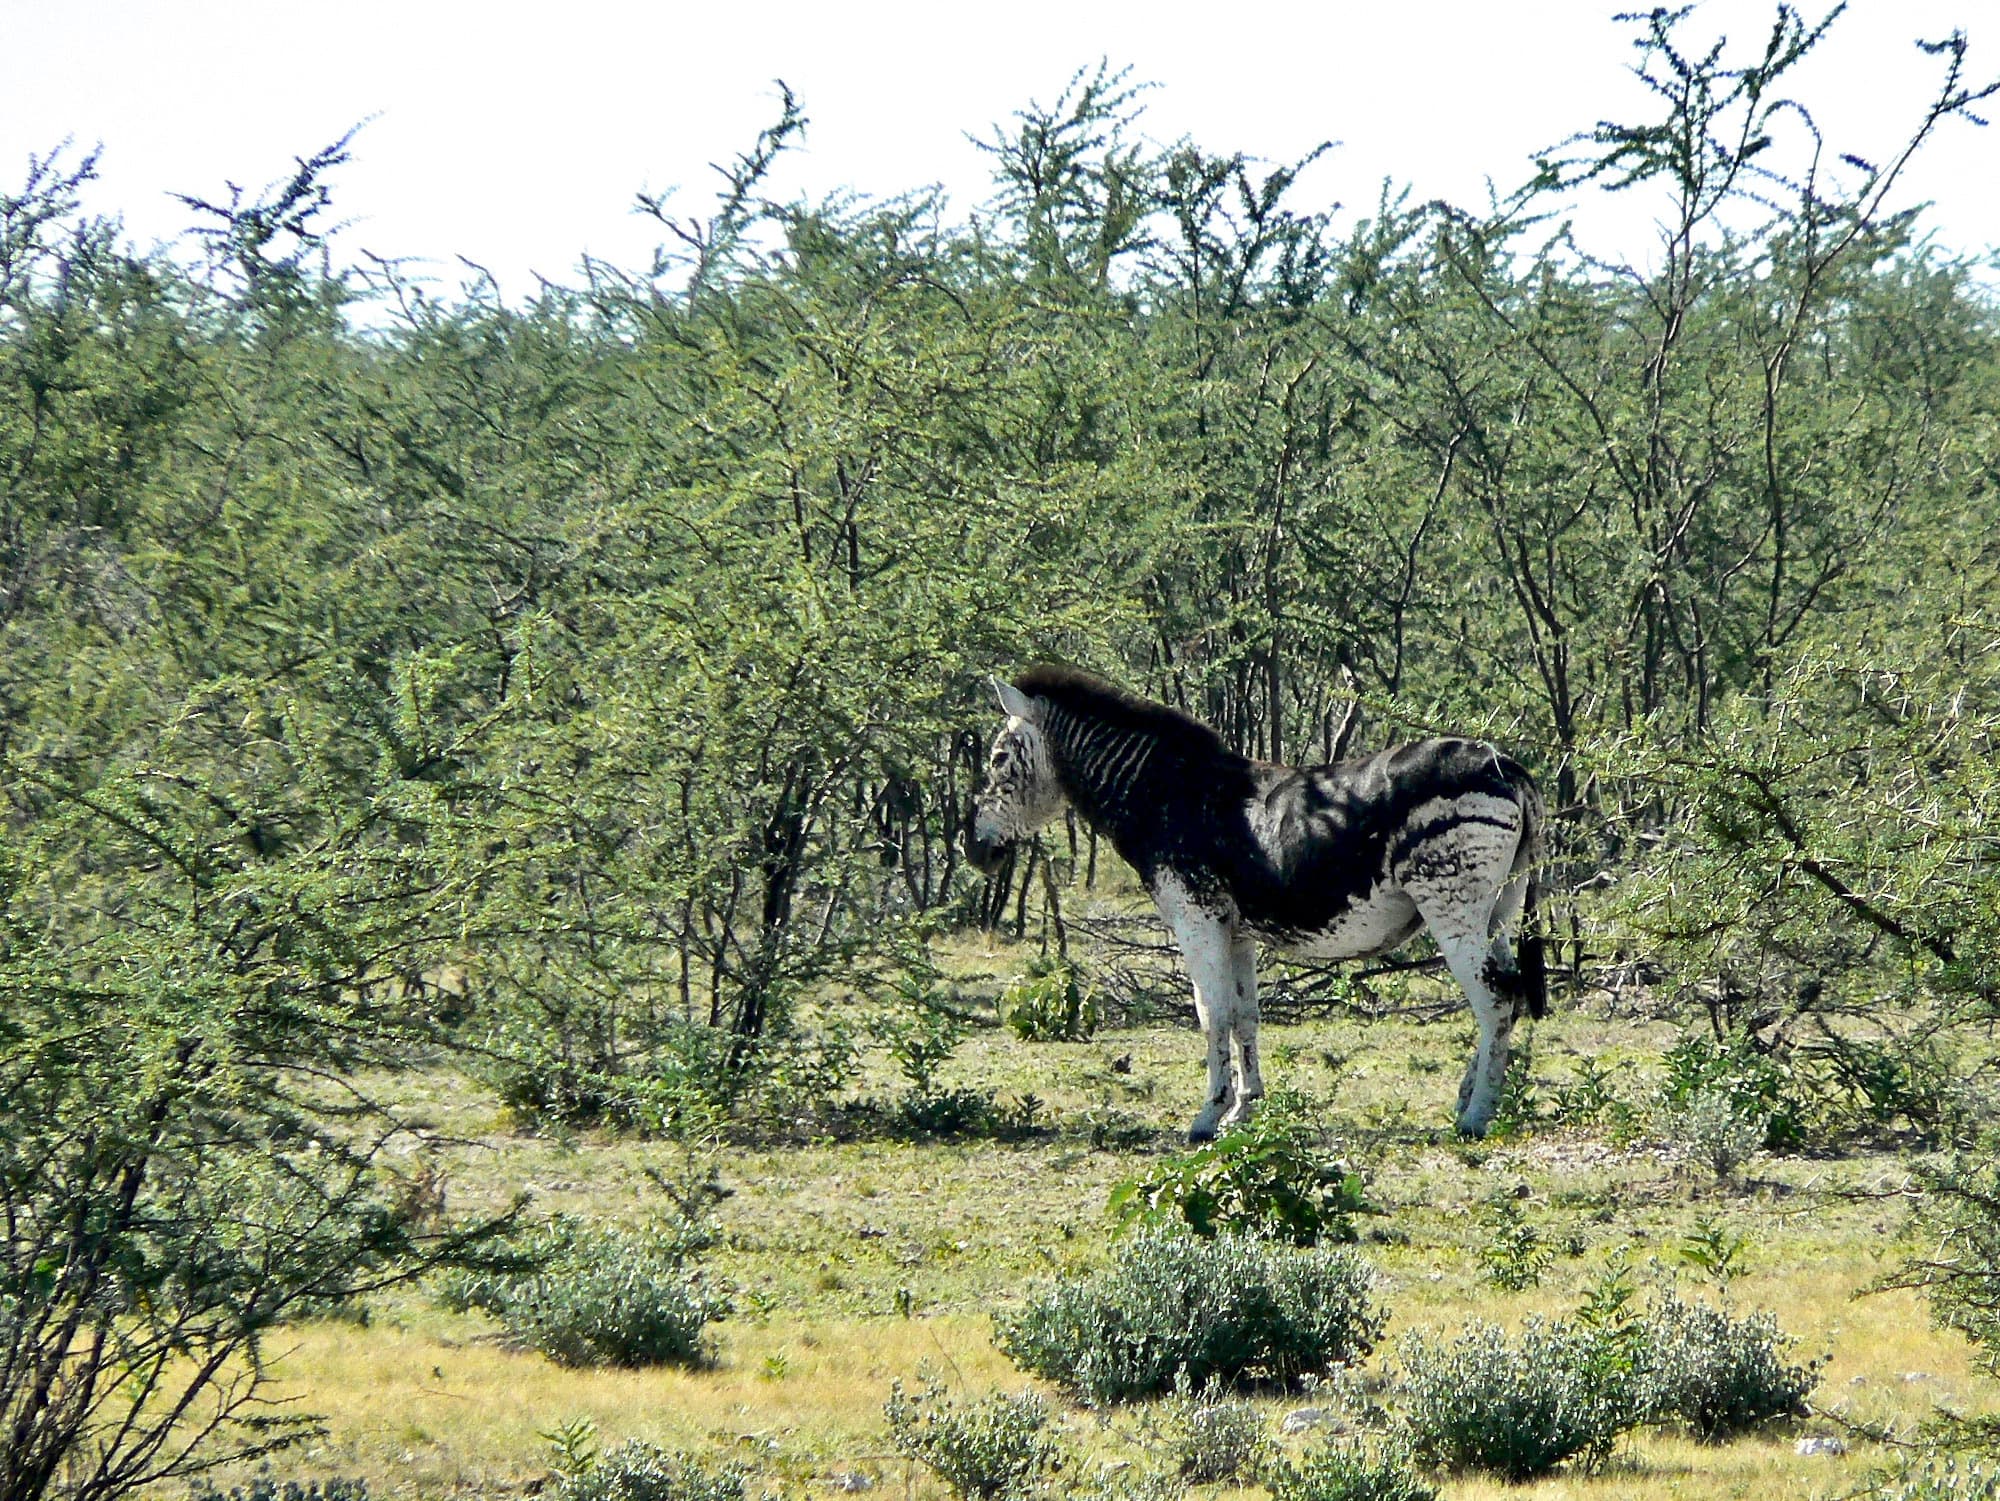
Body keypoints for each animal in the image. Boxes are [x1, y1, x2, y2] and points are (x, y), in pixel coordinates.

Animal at [965, 665, 1546, 1140]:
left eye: (997, 759)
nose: (975, 851)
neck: (1161, 795)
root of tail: (1507, 765)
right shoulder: (1236, 931)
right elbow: (1246, 1014)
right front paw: (1246, 1109)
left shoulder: (1195, 917)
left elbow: (1211, 1013)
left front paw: (1207, 1117)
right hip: (1501, 907)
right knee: (1510, 993)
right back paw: (1468, 1100)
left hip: (1452, 902)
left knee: (1494, 998)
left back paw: (1477, 1117)